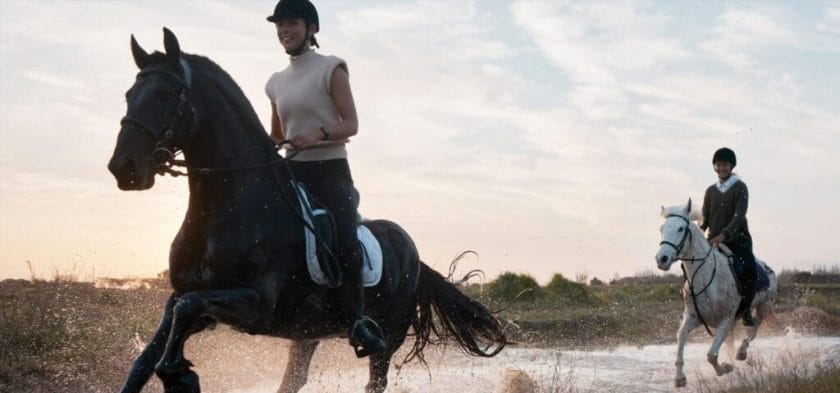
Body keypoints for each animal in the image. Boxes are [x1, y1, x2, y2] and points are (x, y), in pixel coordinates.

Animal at [108, 28, 508, 392]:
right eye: (128, 95)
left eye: (165, 95)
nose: (123, 168)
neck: (226, 209)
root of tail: (414, 254)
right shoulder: (183, 295)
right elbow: (151, 352)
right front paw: (173, 371)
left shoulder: (256, 304)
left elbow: (187, 312)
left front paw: (180, 374)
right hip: (307, 333)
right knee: (294, 379)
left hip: (387, 337)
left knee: (374, 379)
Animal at [652, 199, 776, 386]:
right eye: (662, 229)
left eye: (681, 228)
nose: (662, 259)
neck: (705, 277)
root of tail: (767, 267)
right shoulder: (693, 317)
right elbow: (681, 337)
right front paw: (680, 377)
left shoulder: (726, 320)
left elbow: (711, 355)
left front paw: (725, 368)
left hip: (763, 306)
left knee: (753, 330)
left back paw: (741, 352)